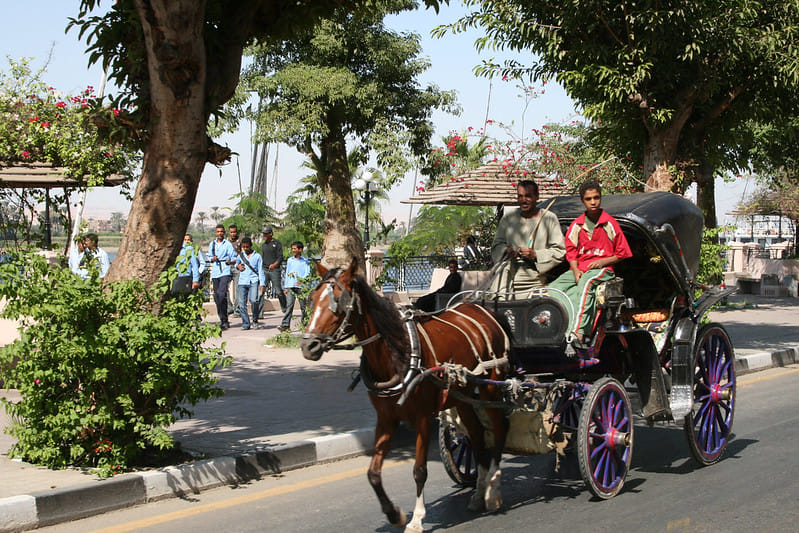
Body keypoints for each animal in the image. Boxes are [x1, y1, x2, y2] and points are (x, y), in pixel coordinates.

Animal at [300, 260, 511, 533]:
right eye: (313, 298)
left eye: (338, 301)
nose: (309, 346)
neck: (397, 353)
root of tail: (486, 312)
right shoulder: (386, 419)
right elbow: (373, 473)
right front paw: (394, 514)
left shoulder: (423, 418)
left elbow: (419, 470)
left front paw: (417, 518)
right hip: (463, 397)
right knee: (476, 435)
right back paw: (478, 492)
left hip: (490, 388)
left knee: (499, 427)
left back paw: (493, 491)